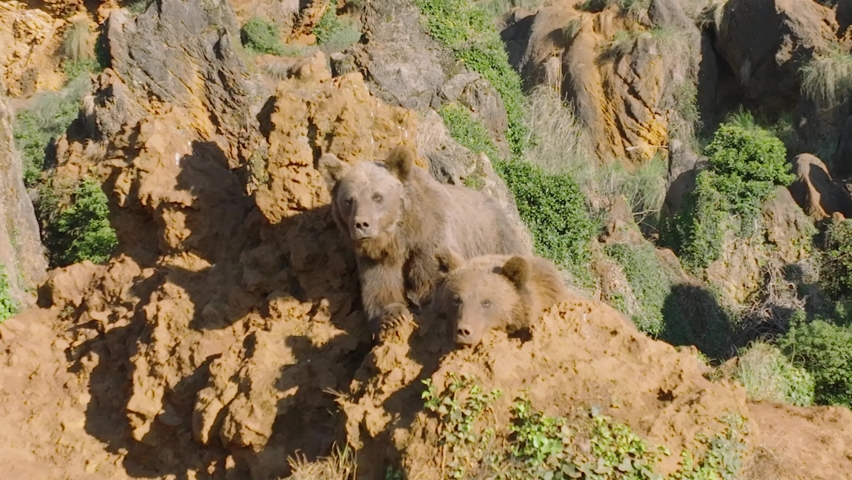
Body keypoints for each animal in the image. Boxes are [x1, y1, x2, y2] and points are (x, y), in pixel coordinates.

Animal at [317, 145, 530, 335]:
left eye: (377, 196)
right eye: (348, 200)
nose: (361, 224)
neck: (402, 236)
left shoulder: (431, 239)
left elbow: (433, 280)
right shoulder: (379, 257)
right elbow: (380, 285)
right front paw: (393, 317)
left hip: (497, 243)